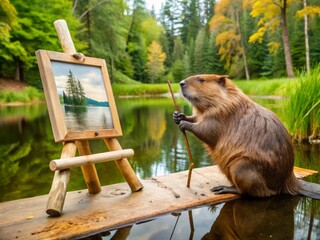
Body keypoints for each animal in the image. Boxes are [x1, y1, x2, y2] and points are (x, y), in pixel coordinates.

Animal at [175, 74, 320, 199]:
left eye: (201, 79)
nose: (181, 83)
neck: (229, 100)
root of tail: (291, 182)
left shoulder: (222, 115)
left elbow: (207, 131)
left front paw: (184, 123)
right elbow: (197, 118)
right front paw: (179, 116)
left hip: (241, 166)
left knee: (257, 192)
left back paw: (223, 188)